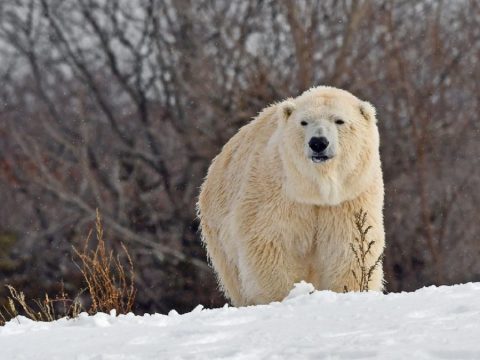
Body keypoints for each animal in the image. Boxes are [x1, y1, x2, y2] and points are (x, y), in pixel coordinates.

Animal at [197, 86, 384, 306]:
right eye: (304, 122)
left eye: (339, 120)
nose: (318, 143)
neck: (315, 190)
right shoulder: (277, 193)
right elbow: (269, 243)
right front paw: (282, 297)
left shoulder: (349, 198)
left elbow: (348, 246)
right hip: (219, 234)